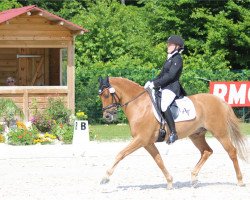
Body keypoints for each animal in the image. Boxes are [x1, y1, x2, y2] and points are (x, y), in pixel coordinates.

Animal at [97, 76, 248, 189]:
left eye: (106, 94)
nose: (107, 116)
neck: (139, 105)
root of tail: (220, 100)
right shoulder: (147, 143)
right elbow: (159, 160)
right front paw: (169, 181)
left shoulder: (141, 139)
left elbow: (121, 154)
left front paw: (105, 177)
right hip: (196, 135)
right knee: (207, 151)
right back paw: (194, 179)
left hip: (220, 133)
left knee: (232, 151)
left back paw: (240, 181)